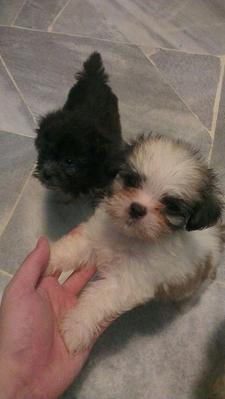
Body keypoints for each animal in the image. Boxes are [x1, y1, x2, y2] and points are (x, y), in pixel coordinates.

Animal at [46, 135, 224, 354]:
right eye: (131, 180)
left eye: (171, 205)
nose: (137, 209)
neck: (130, 237)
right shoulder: (93, 239)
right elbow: (71, 249)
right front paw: (47, 259)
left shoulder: (126, 281)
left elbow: (96, 299)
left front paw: (76, 327)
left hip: (201, 281)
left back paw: (184, 306)